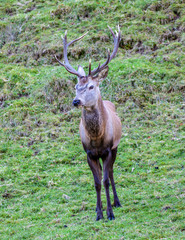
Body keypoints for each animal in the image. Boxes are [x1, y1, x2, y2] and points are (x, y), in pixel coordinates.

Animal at [54, 25, 122, 219]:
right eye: (76, 86)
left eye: (91, 86)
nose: (76, 101)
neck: (97, 138)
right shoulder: (89, 153)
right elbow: (97, 182)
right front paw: (99, 213)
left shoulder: (108, 150)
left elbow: (105, 181)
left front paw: (110, 213)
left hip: (116, 147)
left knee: (112, 173)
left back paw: (117, 202)